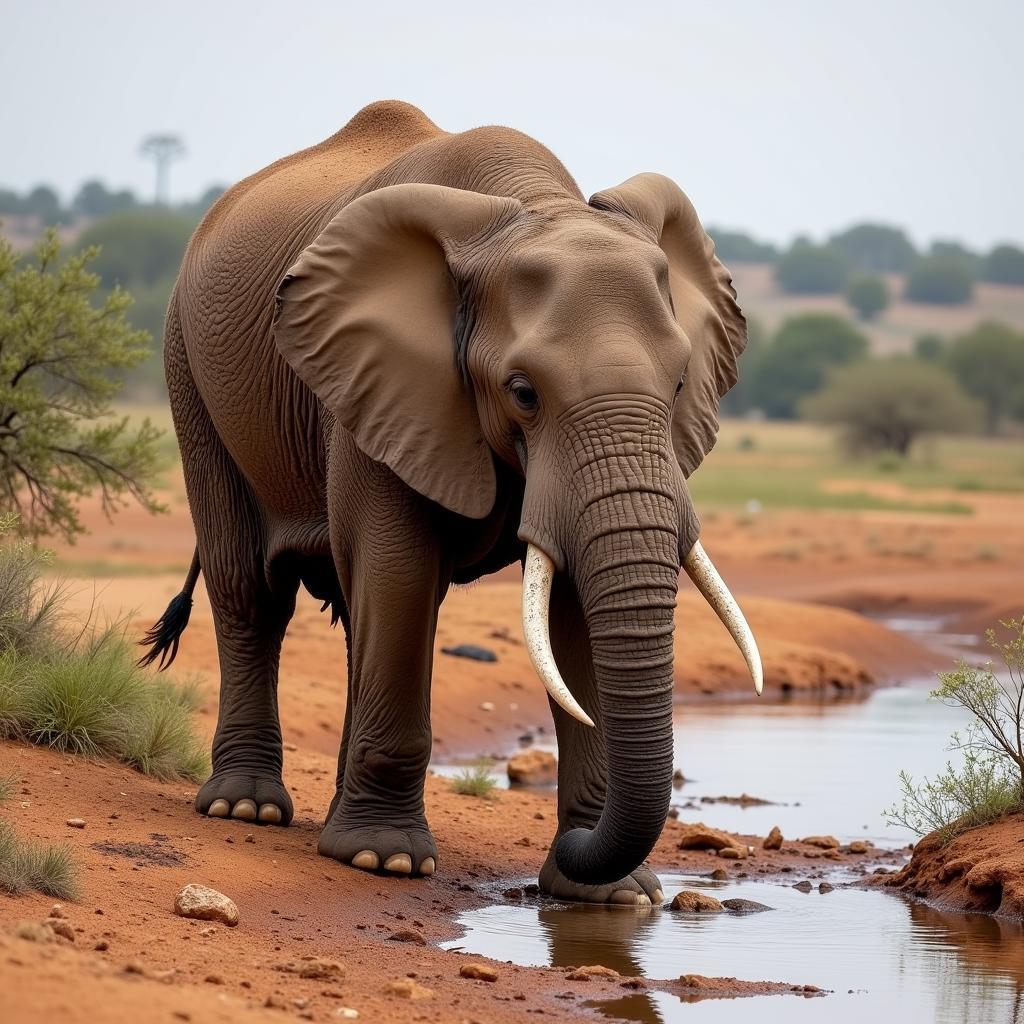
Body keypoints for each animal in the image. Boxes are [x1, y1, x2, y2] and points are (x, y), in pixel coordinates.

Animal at [144, 99, 765, 909]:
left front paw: (612, 896)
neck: (530, 206)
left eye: (683, 384)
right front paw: (383, 860)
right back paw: (247, 808)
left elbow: (570, 607)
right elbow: (400, 571)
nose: (579, 850)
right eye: (523, 392)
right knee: (253, 591)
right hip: (188, 369)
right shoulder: (378, 387)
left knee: (354, 615)